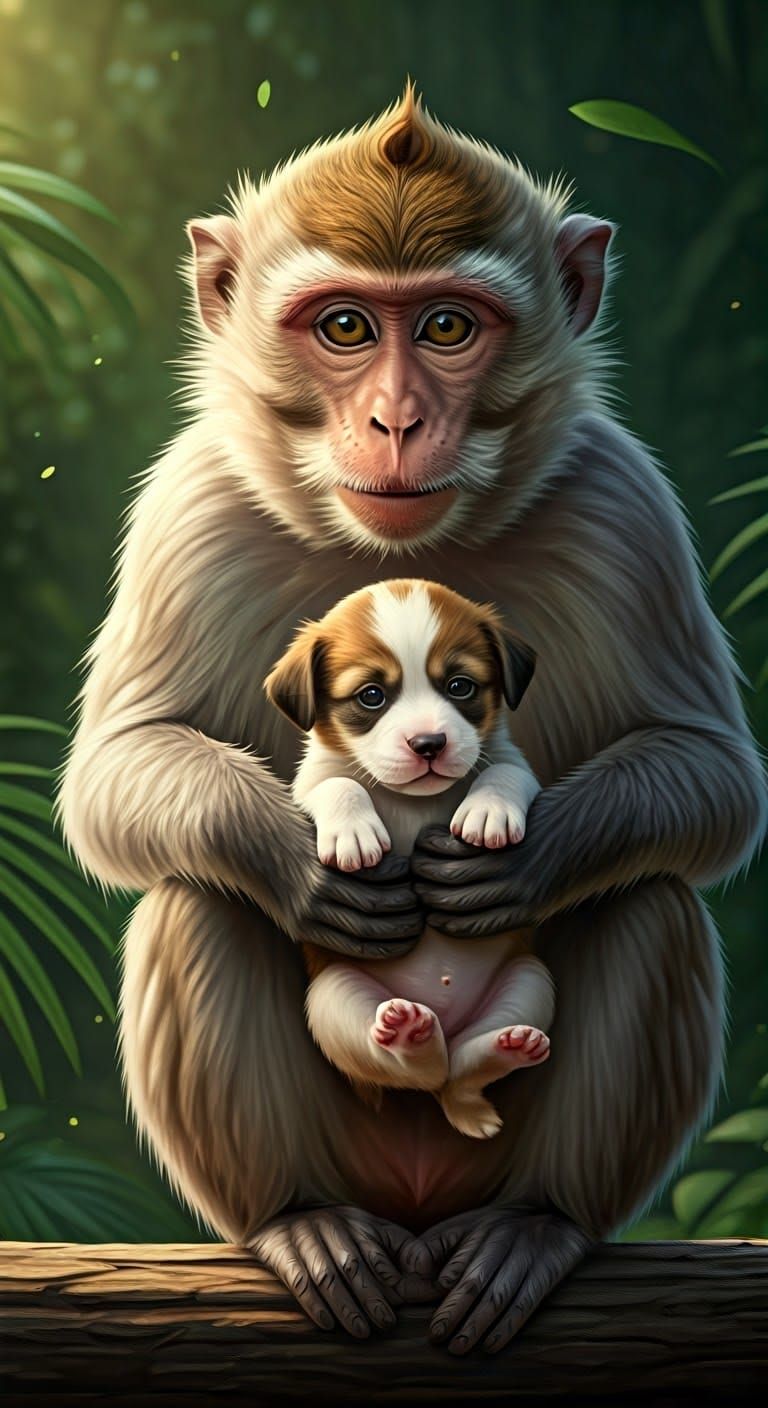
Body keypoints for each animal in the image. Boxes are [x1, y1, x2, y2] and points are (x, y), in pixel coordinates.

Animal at [58, 85, 766, 1355]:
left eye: (445, 327)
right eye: (345, 326)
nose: (394, 419)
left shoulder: (623, 501)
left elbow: (714, 774)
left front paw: (512, 856)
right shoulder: (191, 503)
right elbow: (118, 769)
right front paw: (312, 857)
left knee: (650, 898)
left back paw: (535, 1220)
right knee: (194, 901)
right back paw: (304, 1218)